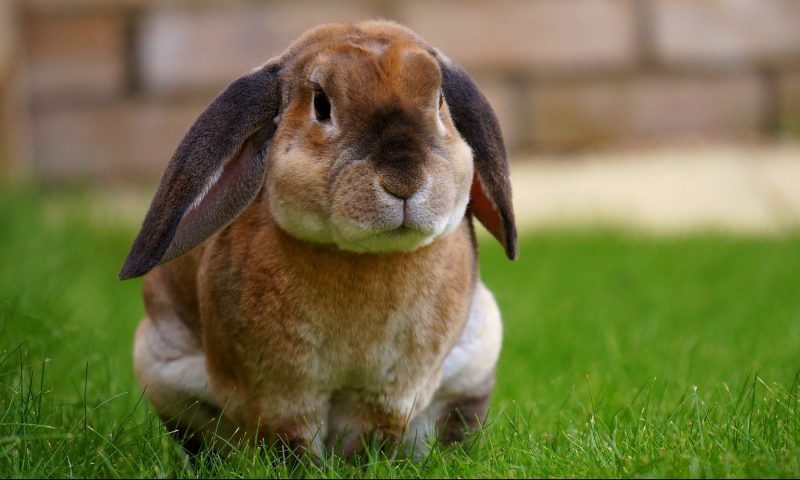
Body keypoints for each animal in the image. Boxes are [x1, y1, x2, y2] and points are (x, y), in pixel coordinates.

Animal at [120, 20, 517, 458]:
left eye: (440, 100)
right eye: (322, 105)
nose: (404, 181)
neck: (363, 257)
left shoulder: (388, 394)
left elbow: (371, 437)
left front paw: (366, 464)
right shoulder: (281, 394)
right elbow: (292, 441)